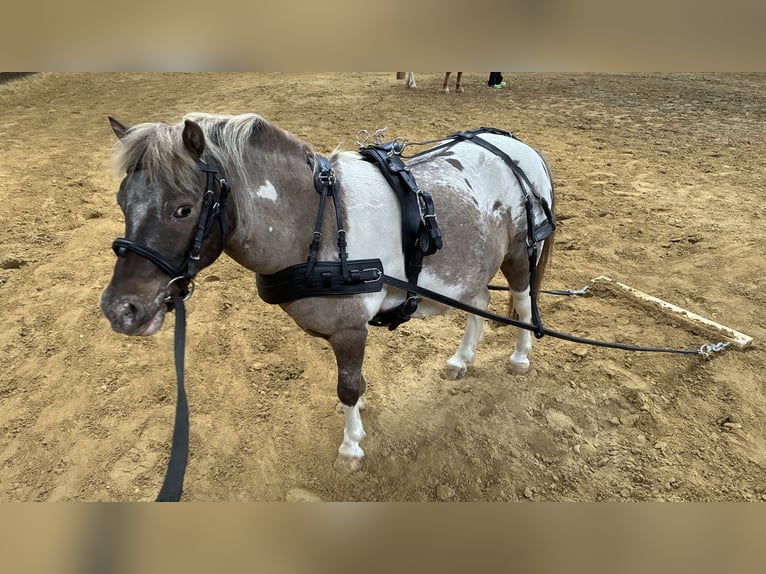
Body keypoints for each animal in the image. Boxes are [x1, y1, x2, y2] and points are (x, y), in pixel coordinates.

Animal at [100, 112, 555, 472]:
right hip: (471, 267)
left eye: (183, 209)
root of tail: (520, 149)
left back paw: (519, 356)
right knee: (480, 303)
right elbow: (354, 384)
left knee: (521, 303)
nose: (119, 309)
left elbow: (348, 386)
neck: (316, 222)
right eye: (122, 201)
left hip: (519, 254)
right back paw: (461, 360)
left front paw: (351, 446)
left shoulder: (351, 329)